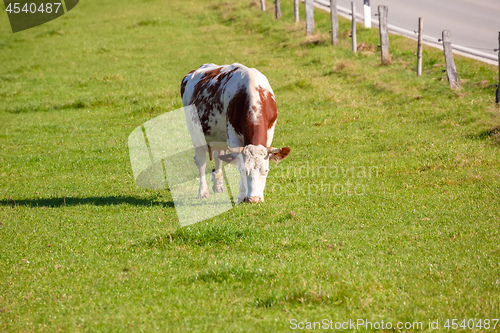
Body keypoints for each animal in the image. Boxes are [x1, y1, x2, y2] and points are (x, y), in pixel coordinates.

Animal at [181, 62, 292, 202]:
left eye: (266, 171)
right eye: (245, 170)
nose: (254, 199)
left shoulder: (269, 133)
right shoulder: (233, 138)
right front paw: (242, 194)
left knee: (218, 157)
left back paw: (218, 186)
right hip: (196, 134)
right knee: (201, 162)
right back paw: (203, 192)